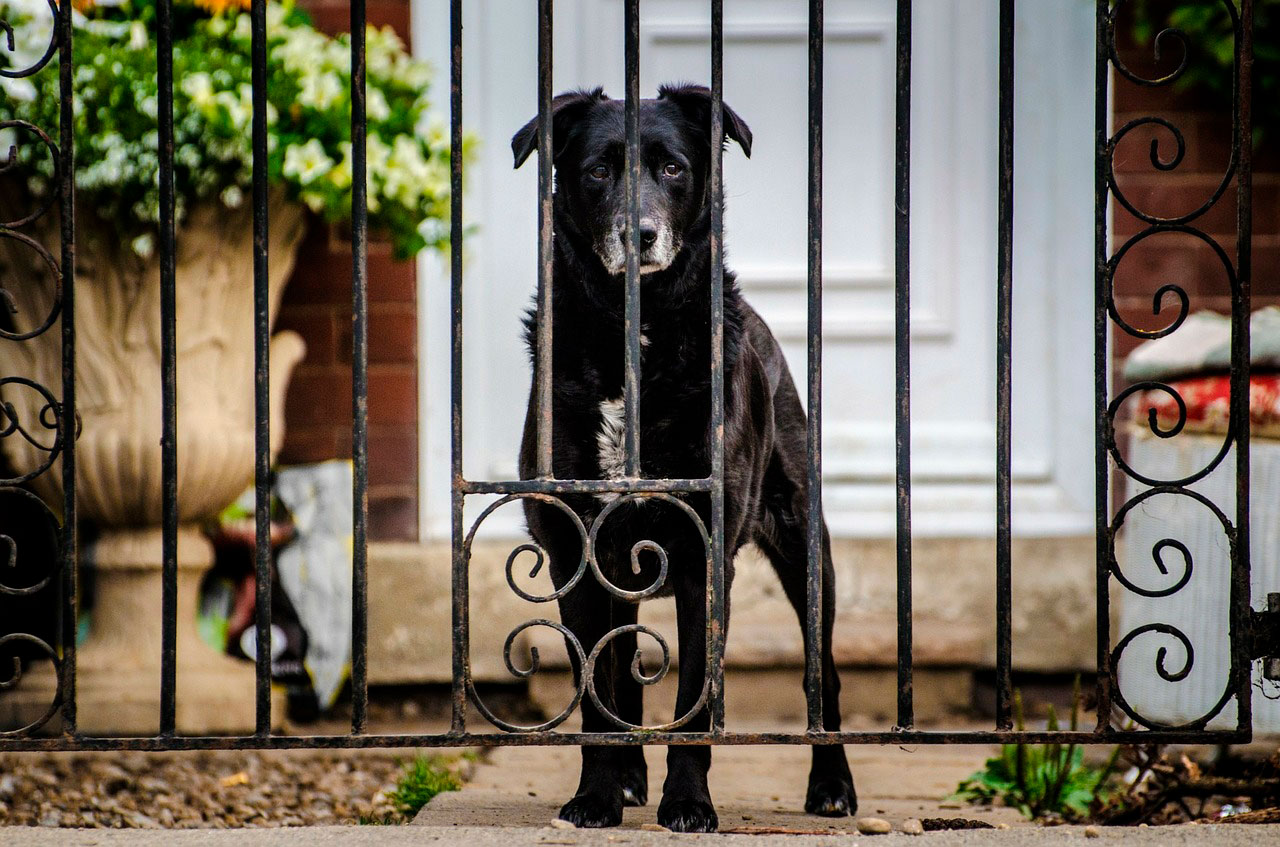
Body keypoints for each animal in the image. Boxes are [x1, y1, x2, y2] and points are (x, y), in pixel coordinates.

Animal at [514, 86, 855, 834]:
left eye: (672, 168)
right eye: (597, 171)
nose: (637, 234)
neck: (634, 339)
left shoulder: (705, 560)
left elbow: (695, 698)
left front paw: (690, 803)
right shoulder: (577, 557)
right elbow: (601, 694)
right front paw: (597, 796)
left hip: (806, 550)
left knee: (824, 671)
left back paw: (832, 783)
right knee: (623, 667)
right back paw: (629, 780)